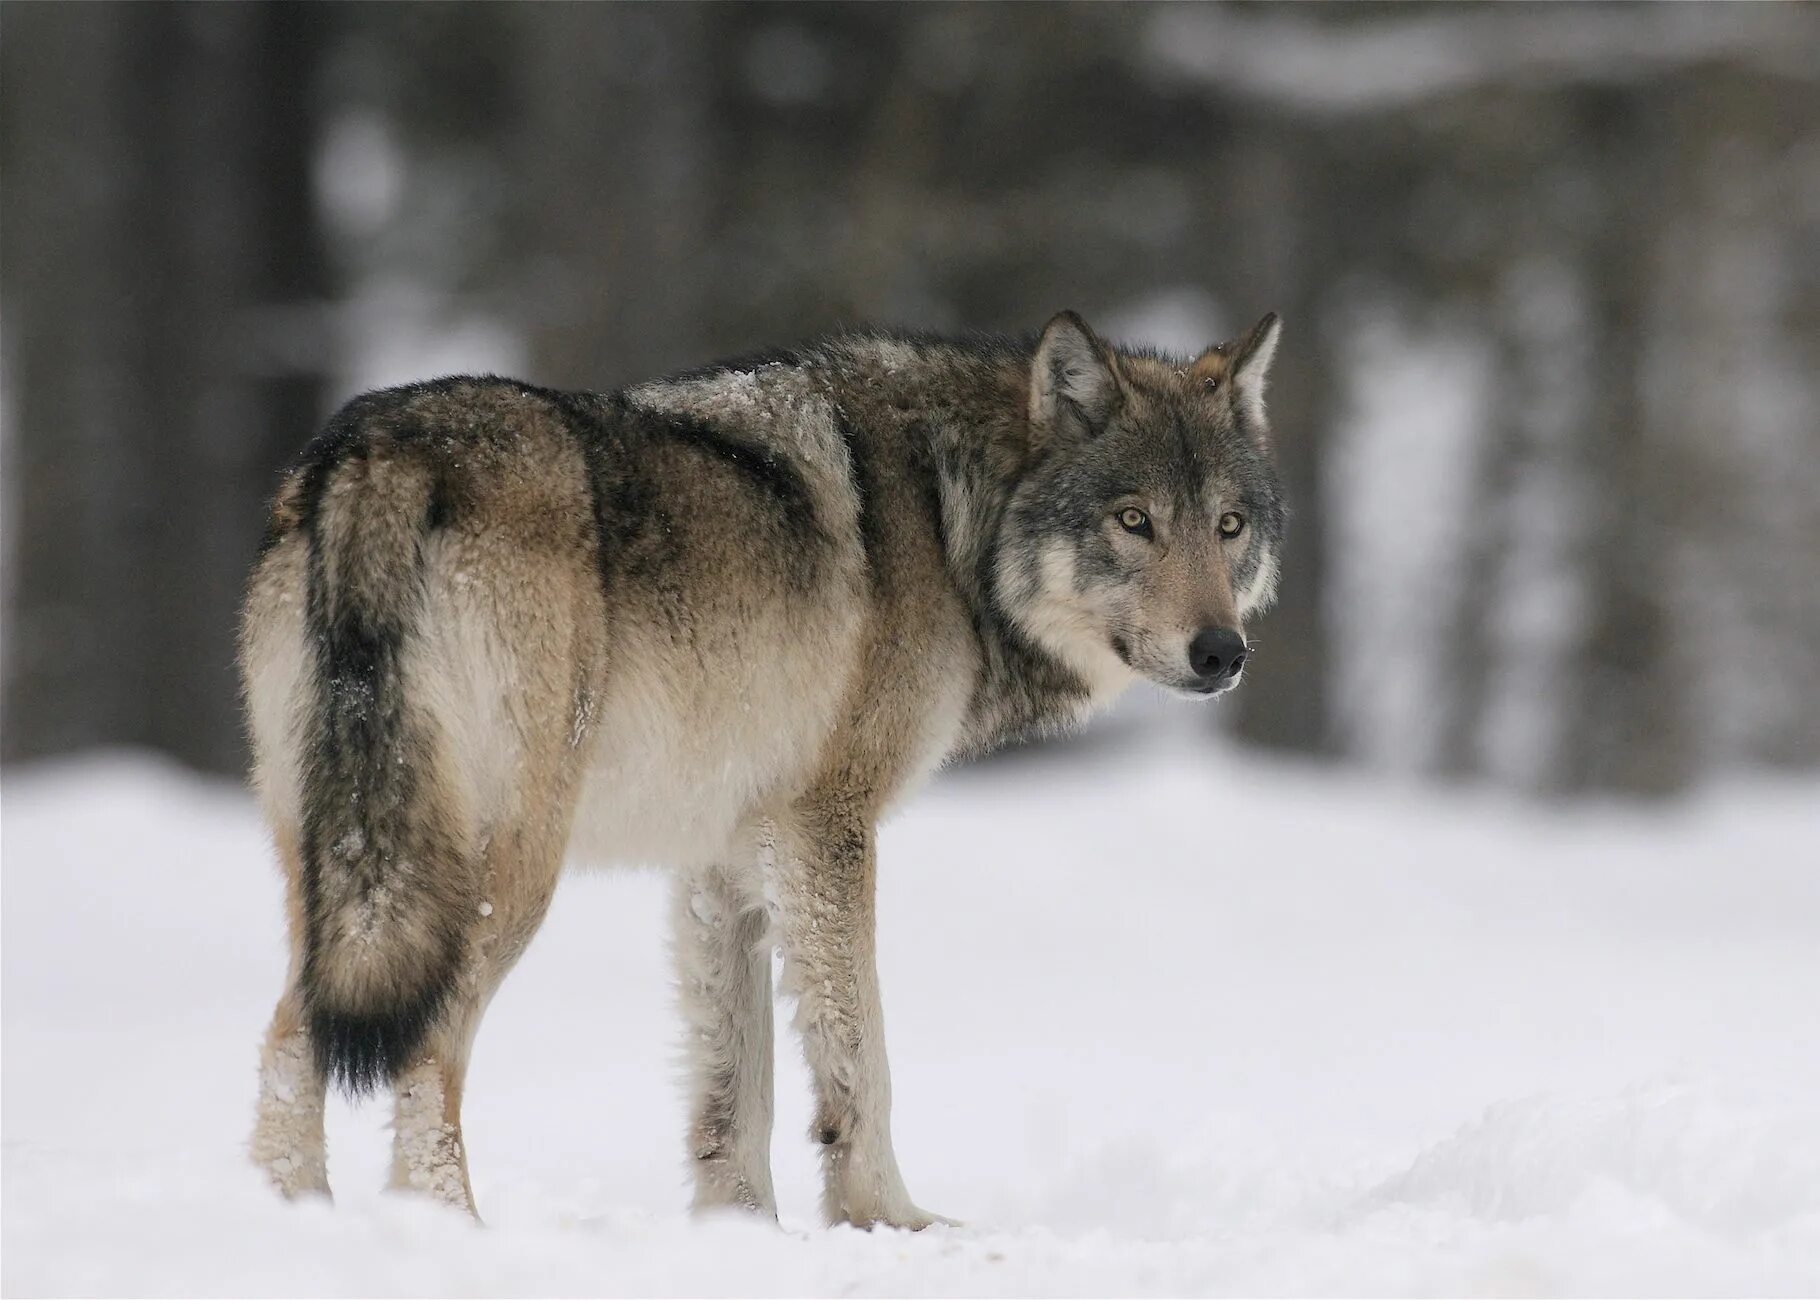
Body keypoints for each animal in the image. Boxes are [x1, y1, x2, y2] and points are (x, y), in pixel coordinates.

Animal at [242, 309, 1288, 1223]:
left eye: (1229, 525)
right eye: (1134, 520)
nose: (1222, 654)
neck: (952, 520)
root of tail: (378, 450)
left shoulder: (722, 859)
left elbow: (734, 1090)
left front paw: (741, 1231)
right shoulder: (826, 828)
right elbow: (862, 1056)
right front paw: (887, 1219)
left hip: (352, 884)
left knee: (292, 1035)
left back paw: (299, 1228)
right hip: (497, 877)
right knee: (420, 1056)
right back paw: (451, 1232)